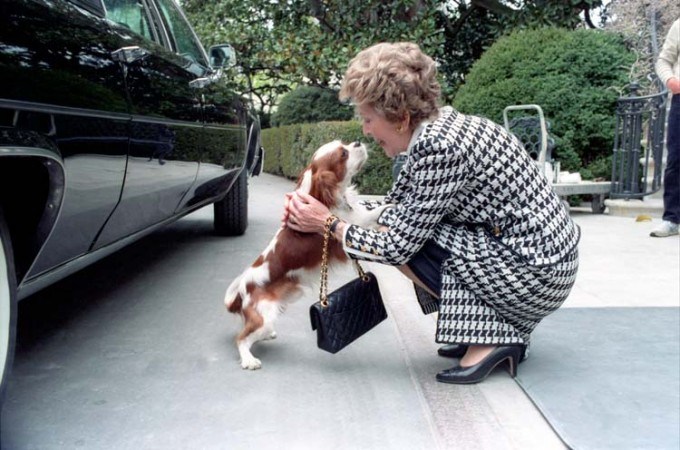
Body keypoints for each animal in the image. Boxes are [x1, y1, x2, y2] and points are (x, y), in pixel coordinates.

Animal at [224, 140, 390, 369]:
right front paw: (391, 206)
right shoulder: (346, 233)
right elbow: (369, 216)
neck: (320, 195)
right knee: (241, 338)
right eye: (343, 154)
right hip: (265, 315)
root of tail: (242, 289)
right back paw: (249, 360)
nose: (357, 142)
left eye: (344, 144)